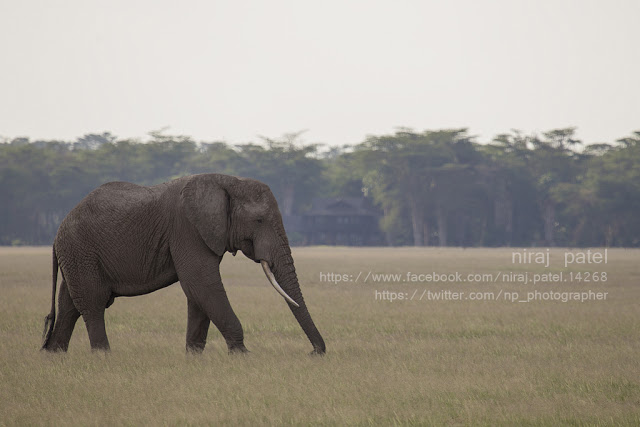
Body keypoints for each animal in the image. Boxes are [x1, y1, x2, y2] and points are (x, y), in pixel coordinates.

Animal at [41, 173, 326, 355]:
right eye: (259, 221)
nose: (314, 353)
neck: (228, 182)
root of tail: (56, 233)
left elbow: (198, 292)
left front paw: (193, 356)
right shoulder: (187, 228)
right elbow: (202, 283)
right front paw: (243, 355)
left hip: (76, 256)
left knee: (69, 305)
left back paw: (55, 356)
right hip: (81, 251)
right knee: (93, 303)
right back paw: (103, 356)